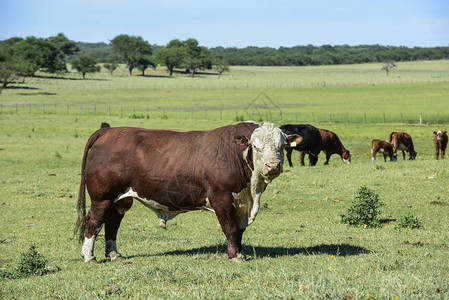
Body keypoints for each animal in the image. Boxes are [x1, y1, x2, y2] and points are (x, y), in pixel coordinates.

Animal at [75, 122, 296, 262]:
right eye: (256, 146)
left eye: (282, 146)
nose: (273, 165)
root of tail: (109, 132)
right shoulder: (222, 198)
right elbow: (231, 228)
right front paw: (235, 256)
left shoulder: (241, 203)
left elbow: (239, 231)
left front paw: (240, 252)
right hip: (102, 197)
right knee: (94, 222)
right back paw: (89, 256)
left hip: (120, 199)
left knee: (112, 223)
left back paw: (114, 254)